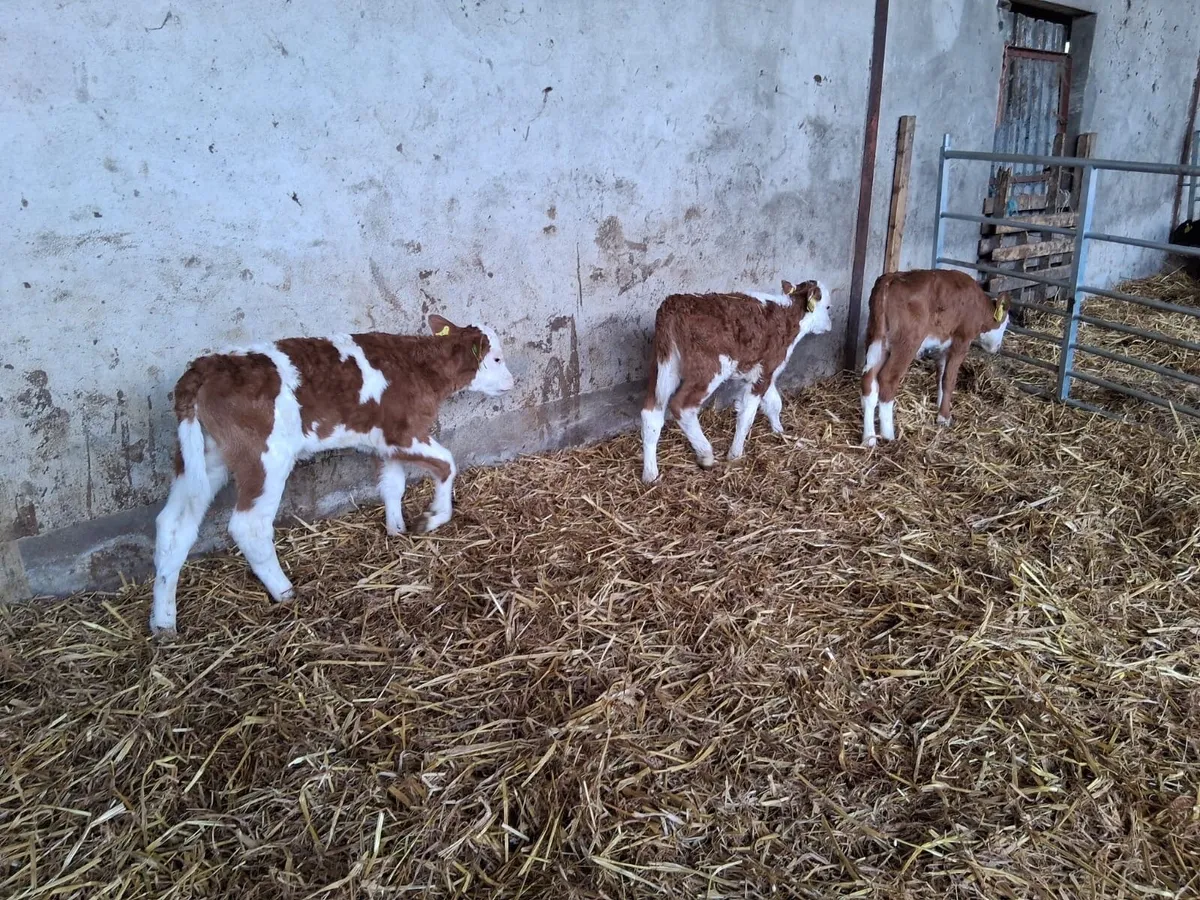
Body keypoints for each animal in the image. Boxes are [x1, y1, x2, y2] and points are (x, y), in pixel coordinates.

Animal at [149, 315, 514, 634]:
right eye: (496, 358)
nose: (513, 381)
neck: (417, 366)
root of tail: (203, 368)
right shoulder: (405, 434)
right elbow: (447, 464)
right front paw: (433, 517)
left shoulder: (385, 442)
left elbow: (393, 485)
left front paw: (396, 529)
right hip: (264, 458)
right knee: (248, 526)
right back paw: (285, 591)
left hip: (204, 459)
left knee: (174, 526)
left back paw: (163, 623)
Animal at [640, 279, 832, 483]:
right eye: (828, 306)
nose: (830, 325)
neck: (789, 315)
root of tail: (672, 304)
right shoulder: (766, 370)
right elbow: (748, 415)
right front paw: (735, 453)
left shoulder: (761, 373)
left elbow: (773, 403)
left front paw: (779, 429)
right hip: (708, 370)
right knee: (682, 407)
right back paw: (705, 454)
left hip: (663, 366)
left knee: (651, 413)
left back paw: (650, 473)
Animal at [860, 268, 1009, 447]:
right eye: (1005, 324)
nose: (997, 348)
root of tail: (890, 278)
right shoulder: (961, 341)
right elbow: (949, 379)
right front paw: (944, 417)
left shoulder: (944, 347)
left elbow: (941, 378)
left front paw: (940, 405)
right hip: (907, 342)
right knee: (887, 379)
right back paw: (888, 434)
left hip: (876, 339)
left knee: (869, 379)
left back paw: (869, 438)